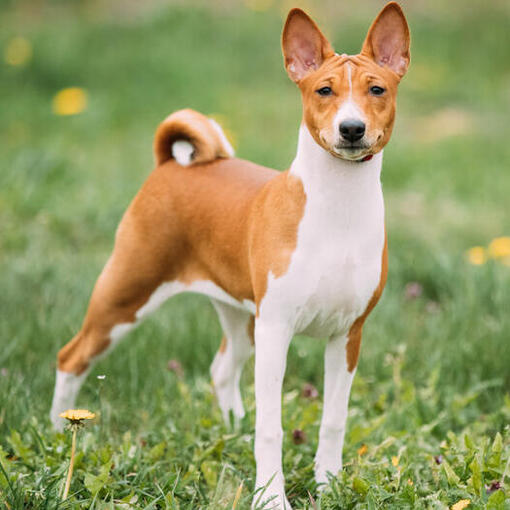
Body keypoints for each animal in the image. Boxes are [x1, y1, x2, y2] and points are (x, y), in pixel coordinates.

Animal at [50, 2, 410, 506]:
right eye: (324, 90)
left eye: (377, 89)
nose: (352, 128)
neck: (336, 209)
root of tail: (171, 164)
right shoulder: (277, 329)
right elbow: (272, 429)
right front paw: (271, 496)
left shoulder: (347, 335)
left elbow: (334, 422)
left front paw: (329, 485)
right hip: (125, 295)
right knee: (72, 357)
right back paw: (57, 434)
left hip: (240, 316)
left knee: (222, 368)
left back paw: (233, 429)